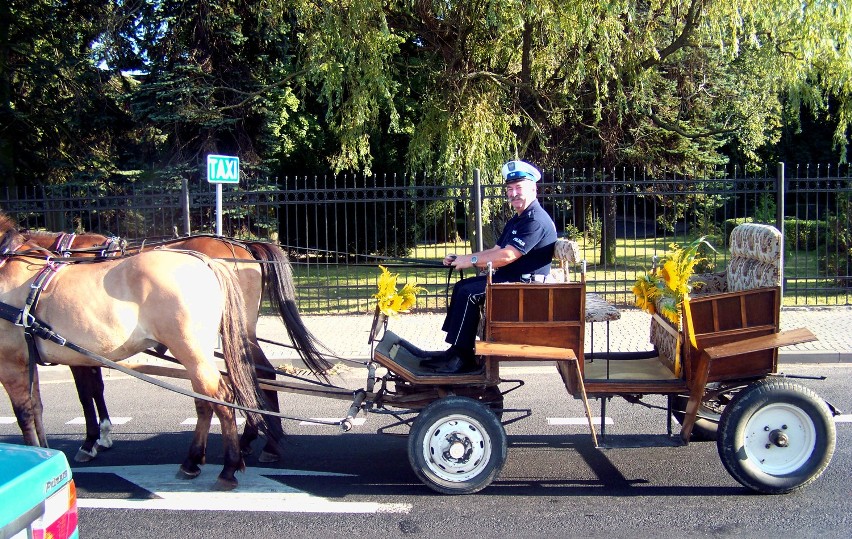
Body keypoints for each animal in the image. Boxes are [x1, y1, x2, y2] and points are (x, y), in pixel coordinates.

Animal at [0, 214, 282, 490]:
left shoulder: (25, 362)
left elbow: (56, 403)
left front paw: (90, 441)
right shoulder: (47, 357)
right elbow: (44, 405)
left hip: (199, 346)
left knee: (227, 393)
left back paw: (234, 463)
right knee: (223, 391)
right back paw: (209, 456)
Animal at [22, 230, 330, 462]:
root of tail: (242, 245)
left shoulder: (77, 350)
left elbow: (87, 394)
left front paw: (90, 441)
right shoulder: (91, 350)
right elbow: (96, 389)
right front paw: (103, 435)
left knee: (261, 372)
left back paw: (265, 442)